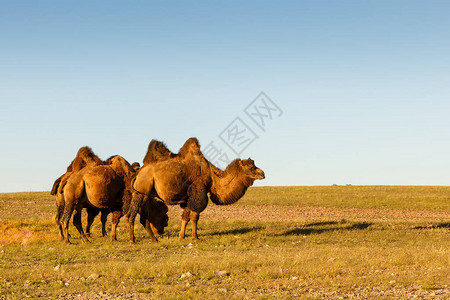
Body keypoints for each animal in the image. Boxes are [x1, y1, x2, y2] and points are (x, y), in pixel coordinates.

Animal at [126, 138, 266, 244]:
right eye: (251, 167)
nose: (263, 174)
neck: (212, 176)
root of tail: (138, 173)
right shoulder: (199, 192)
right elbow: (195, 217)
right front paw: (195, 237)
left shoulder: (189, 197)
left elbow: (185, 217)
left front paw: (181, 236)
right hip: (141, 192)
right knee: (131, 214)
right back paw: (133, 240)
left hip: (145, 195)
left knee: (143, 218)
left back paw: (154, 239)